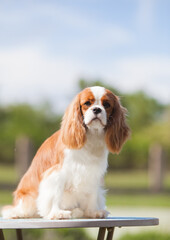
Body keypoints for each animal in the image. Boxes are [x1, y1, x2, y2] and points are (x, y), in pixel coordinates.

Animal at [1, 86, 129, 219]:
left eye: (107, 105)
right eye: (87, 103)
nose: (97, 109)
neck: (91, 136)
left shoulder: (93, 174)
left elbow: (92, 194)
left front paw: (93, 211)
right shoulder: (56, 173)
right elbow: (55, 194)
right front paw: (57, 213)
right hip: (27, 198)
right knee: (18, 210)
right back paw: (16, 213)